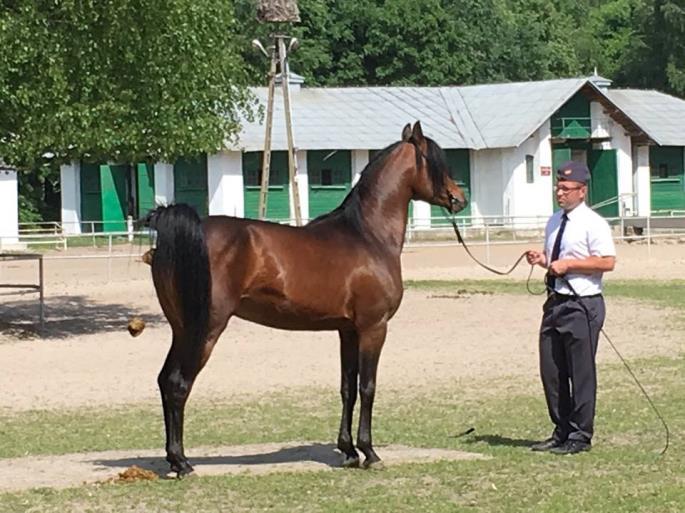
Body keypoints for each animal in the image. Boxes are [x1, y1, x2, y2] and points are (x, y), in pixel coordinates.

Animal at [147, 121, 468, 476]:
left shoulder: (347, 330)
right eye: (437, 163)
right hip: (205, 329)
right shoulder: (374, 328)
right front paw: (369, 452)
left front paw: (348, 451)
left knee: (165, 380)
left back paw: (173, 458)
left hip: (181, 329)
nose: (459, 198)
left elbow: (347, 388)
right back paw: (182, 462)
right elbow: (367, 387)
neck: (367, 235)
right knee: (179, 384)